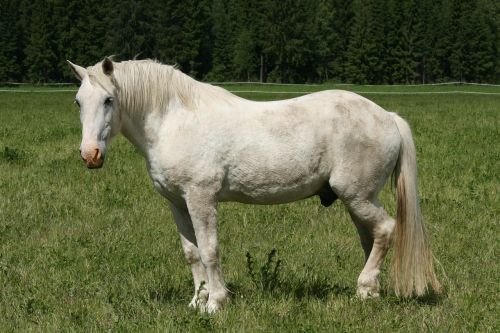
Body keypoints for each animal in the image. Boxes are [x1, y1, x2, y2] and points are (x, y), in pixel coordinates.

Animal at [68, 57, 440, 312]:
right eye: (78, 102)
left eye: (109, 100)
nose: (90, 155)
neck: (175, 121)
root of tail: (387, 116)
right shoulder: (178, 203)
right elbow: (192, 254)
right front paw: (197, 301)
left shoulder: (201, 198)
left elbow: (210, 250)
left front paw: (216, 302)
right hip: (358, 200)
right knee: (371, 238)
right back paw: (369, 291)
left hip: (358, 196)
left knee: (386, 230)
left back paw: (365, 285)